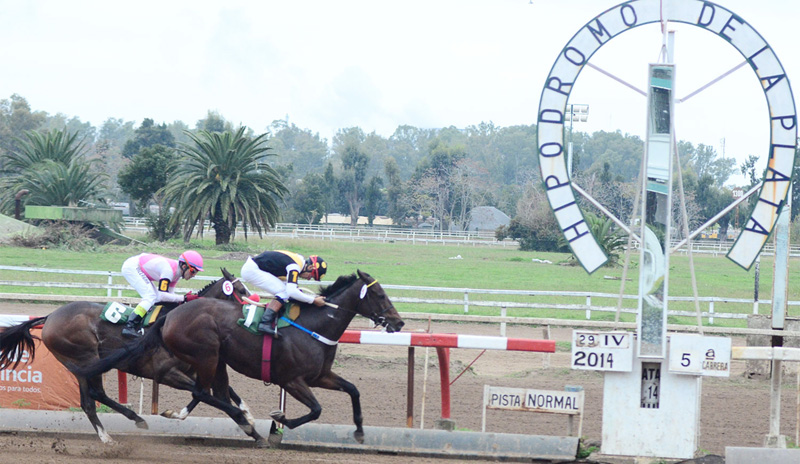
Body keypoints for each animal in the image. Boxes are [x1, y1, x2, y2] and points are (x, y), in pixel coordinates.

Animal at [0, 270, 255, 444]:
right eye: (242, 291)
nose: (253, 311)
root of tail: (51, 316)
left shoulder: (196, 367)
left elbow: (219, 392)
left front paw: (248, 415)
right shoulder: (166, 373)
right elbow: (203, 394)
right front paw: (245, 421)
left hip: (80, 365)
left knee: (88, 402)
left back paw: (113, 431)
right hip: (86, 357)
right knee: (95, 395)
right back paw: (125, 426)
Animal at [80, 272, 404, 446]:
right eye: (379, 294)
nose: (398, 323)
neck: (314, 326)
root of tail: (169, 317)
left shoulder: (320, 376)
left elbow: (353, 390)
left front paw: (359, 431)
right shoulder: (293, 380)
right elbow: (316, 410)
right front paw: (278, 424)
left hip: (215, 360)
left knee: (210, 392)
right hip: (207, 355)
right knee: (204, 392)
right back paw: (248, 427)